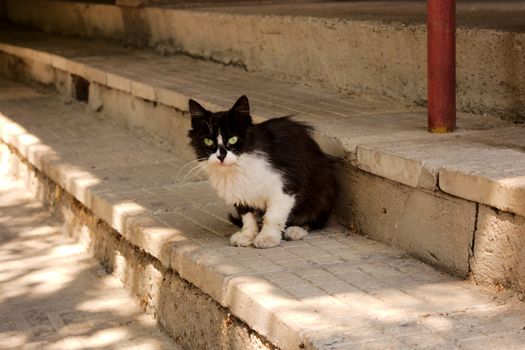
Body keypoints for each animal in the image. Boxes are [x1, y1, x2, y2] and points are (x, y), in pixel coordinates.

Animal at [187, 95, 336, 247]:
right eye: (208, 141)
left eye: (233, 139)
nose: (221, 156)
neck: (240, 167)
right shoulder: (239, 191)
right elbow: (247, 216)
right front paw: (247, 235)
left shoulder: (285, 186)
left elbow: (273, 216)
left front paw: (267, 238)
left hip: (322, 186)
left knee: (316, 218)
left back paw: (296, 230)